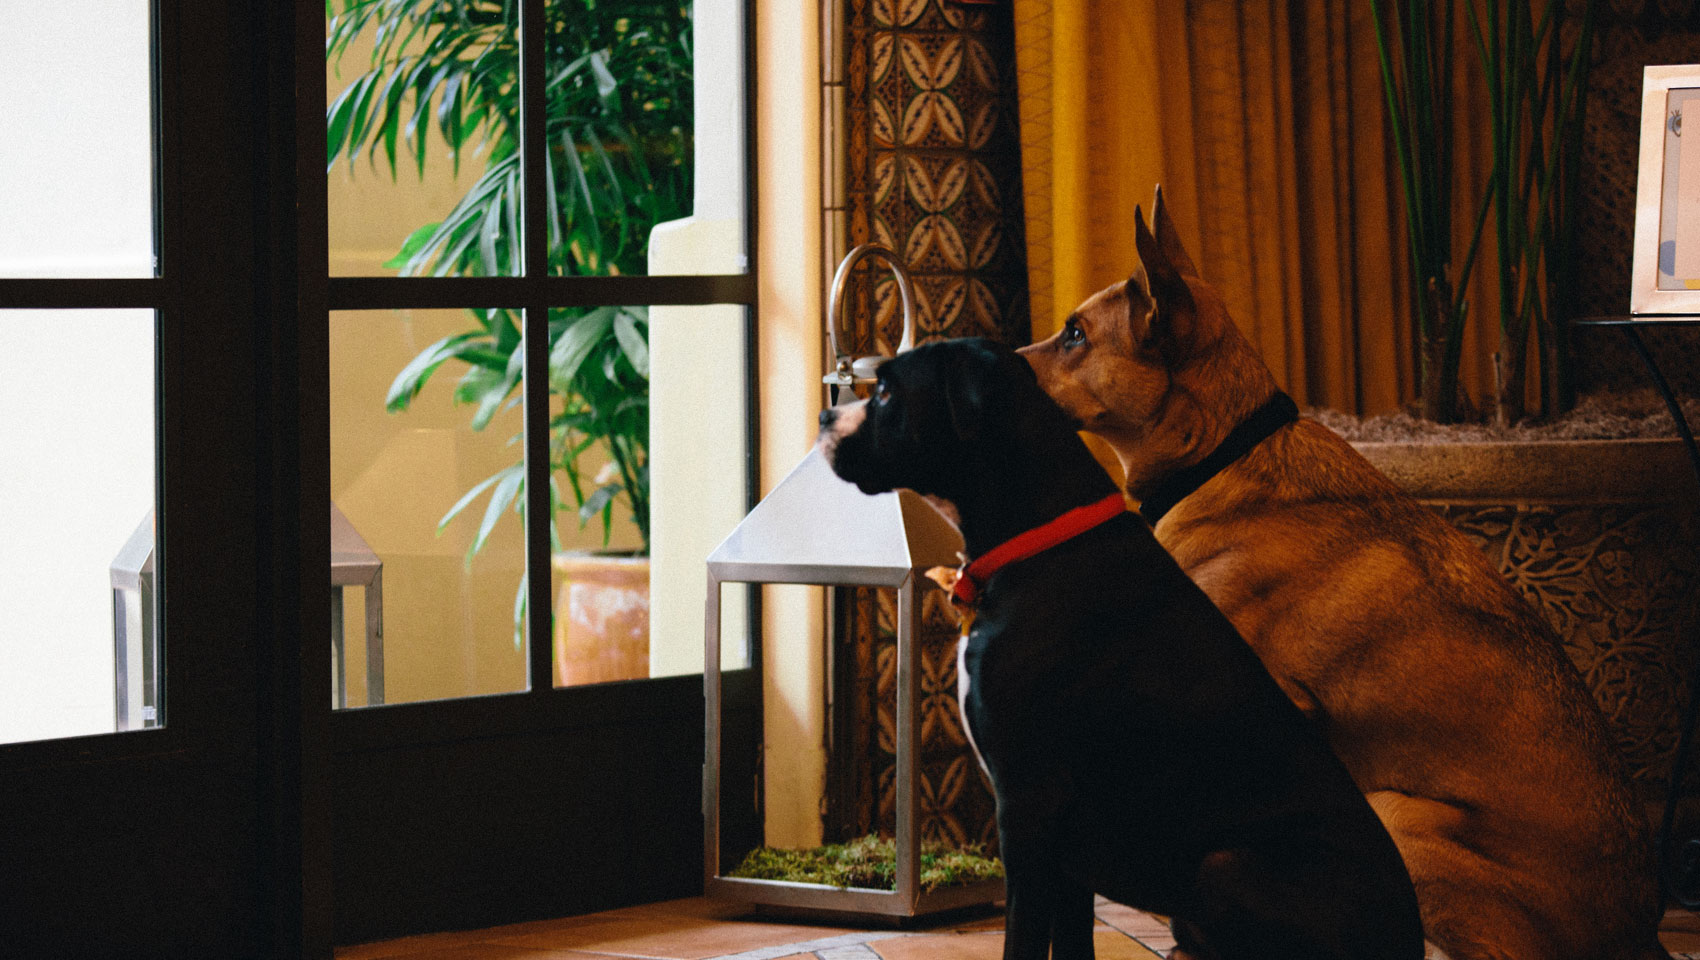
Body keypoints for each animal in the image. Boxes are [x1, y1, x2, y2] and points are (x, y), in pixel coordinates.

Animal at [816, 338, 1428, 960]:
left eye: (886, 390)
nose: (823, 417)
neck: (1040, 539)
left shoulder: (1028, 809)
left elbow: (1023, 937)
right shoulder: (1067, 853)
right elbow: (1073, 940)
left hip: (1222, 866)